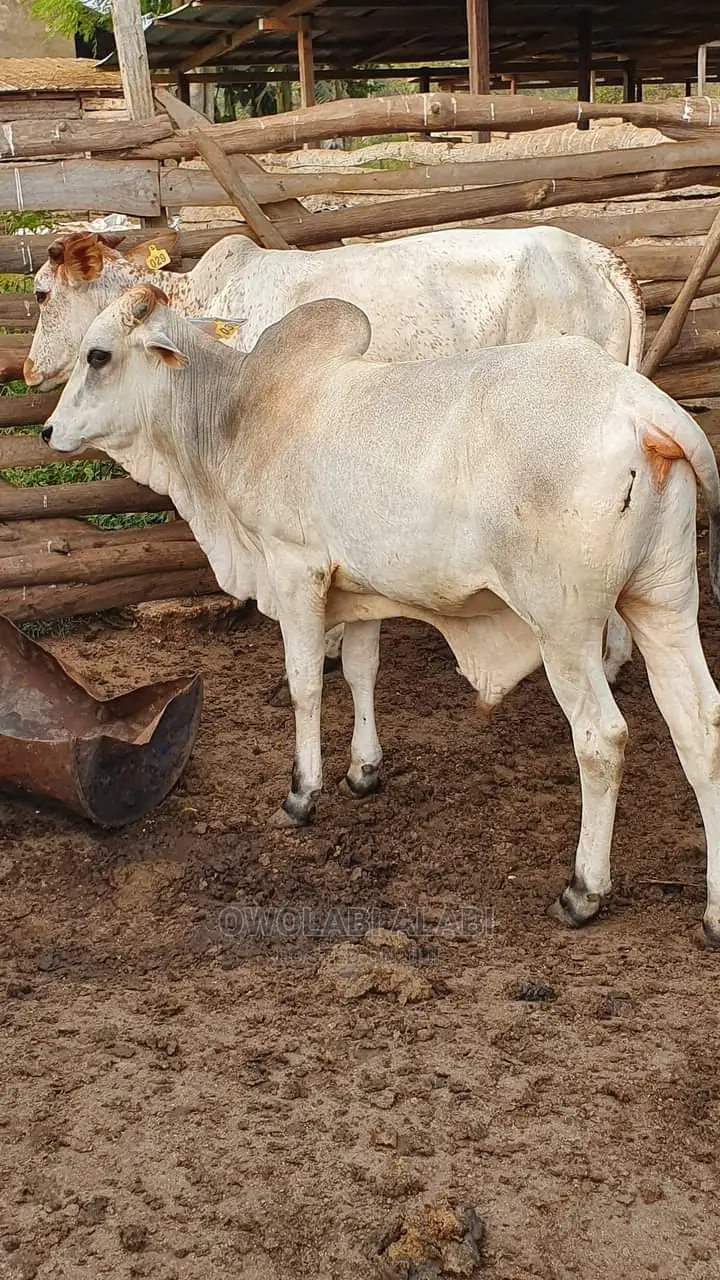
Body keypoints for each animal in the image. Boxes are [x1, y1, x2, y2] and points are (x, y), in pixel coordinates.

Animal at [43, 284, 720, 944]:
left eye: (97, 355)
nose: (49, 430)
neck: (241, 413)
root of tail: (641, 406)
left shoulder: (295, 573)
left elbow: (306, 685)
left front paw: (302, 793)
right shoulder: (359, 588)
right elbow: (360, 671)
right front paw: (363, 771)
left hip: (565, 628)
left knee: (602, 739)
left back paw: (583, 891)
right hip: (663, 602)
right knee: (700, 724)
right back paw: (712, 912)